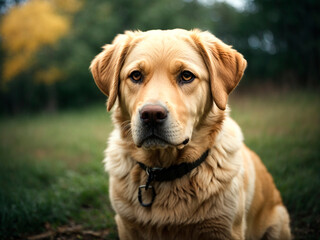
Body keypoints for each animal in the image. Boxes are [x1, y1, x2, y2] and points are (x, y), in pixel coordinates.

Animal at [89, 29, 292, 239]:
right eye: (136, 75)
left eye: (186, 76)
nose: (151, 115)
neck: (165, 169)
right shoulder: (127, 226)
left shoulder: (225, 229)